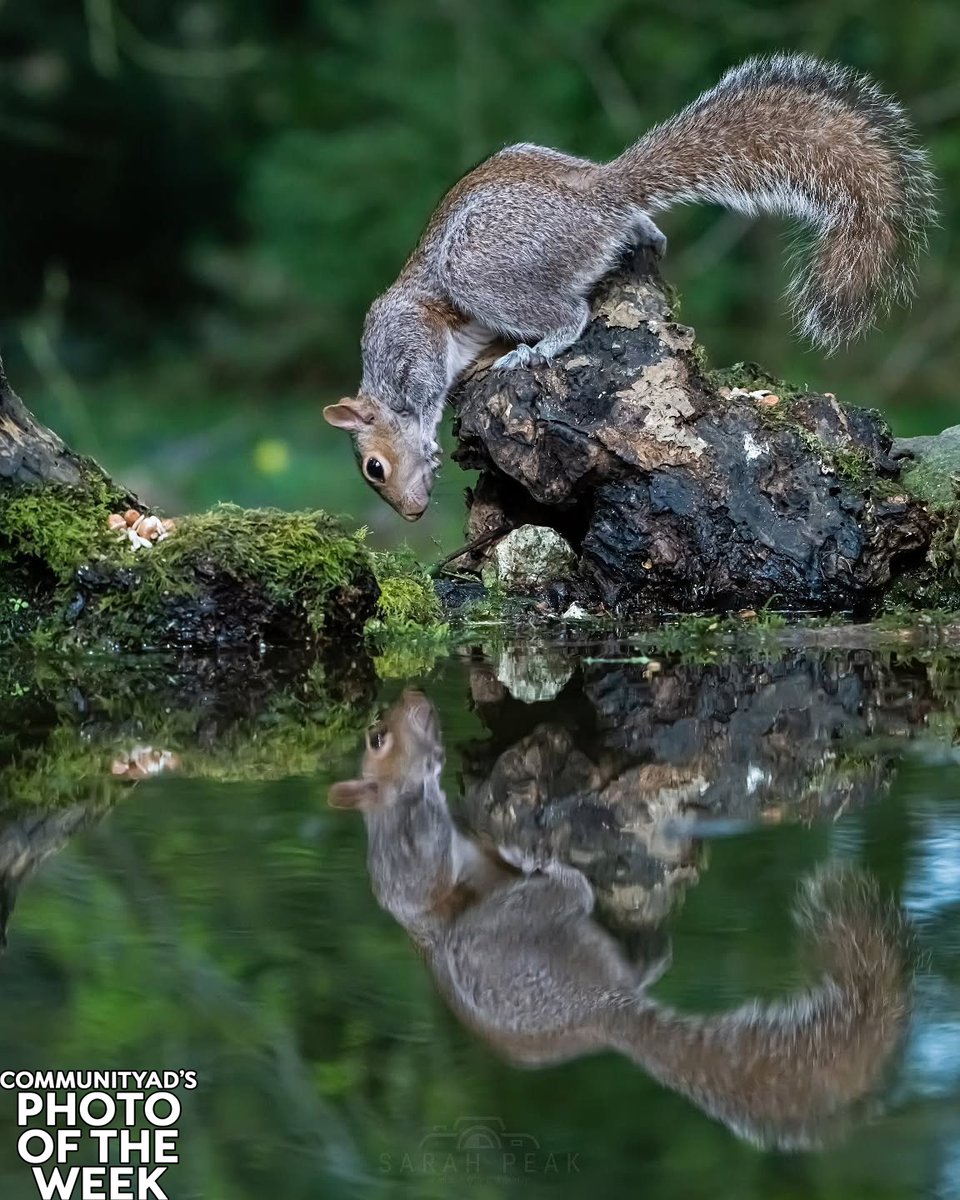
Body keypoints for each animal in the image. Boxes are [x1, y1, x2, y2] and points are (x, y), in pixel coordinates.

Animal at [323, 53, 935, 520]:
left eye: (375, 468)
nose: (412, 514)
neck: (378, 380)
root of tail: (596, 198)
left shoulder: (407, 338)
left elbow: (425, 387)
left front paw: (429, 433)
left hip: (478, 268)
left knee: (570, 315)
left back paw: (534, 350)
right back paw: (646, 234)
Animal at [329, 689, 911, 1150]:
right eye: (378, 738)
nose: (415, 694)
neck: (392, 809)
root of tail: (604, 1007)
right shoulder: (411, 854)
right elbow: (433, 874)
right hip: (501, 933)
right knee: (572, 895)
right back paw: (544, 863)